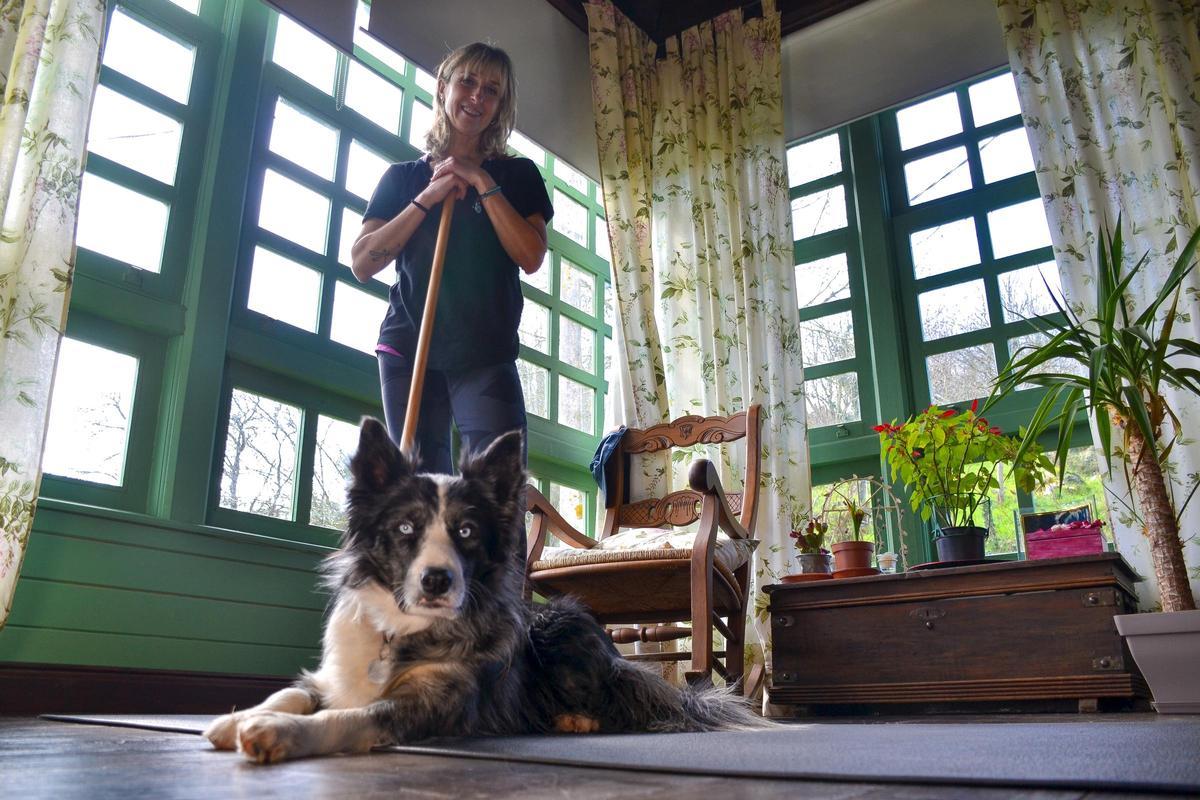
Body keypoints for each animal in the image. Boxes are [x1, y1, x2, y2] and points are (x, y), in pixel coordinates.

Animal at [204, 419, 758, 762]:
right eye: (405, 528)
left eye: (466, 532)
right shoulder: (331, 676)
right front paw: (240, 717)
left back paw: (573, 721)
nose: (437, 580)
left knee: (621, 709)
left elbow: (352, 716)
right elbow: (292, 692)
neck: (404, 629)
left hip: (561, 623)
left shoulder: (433, 705)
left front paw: (278, 732)